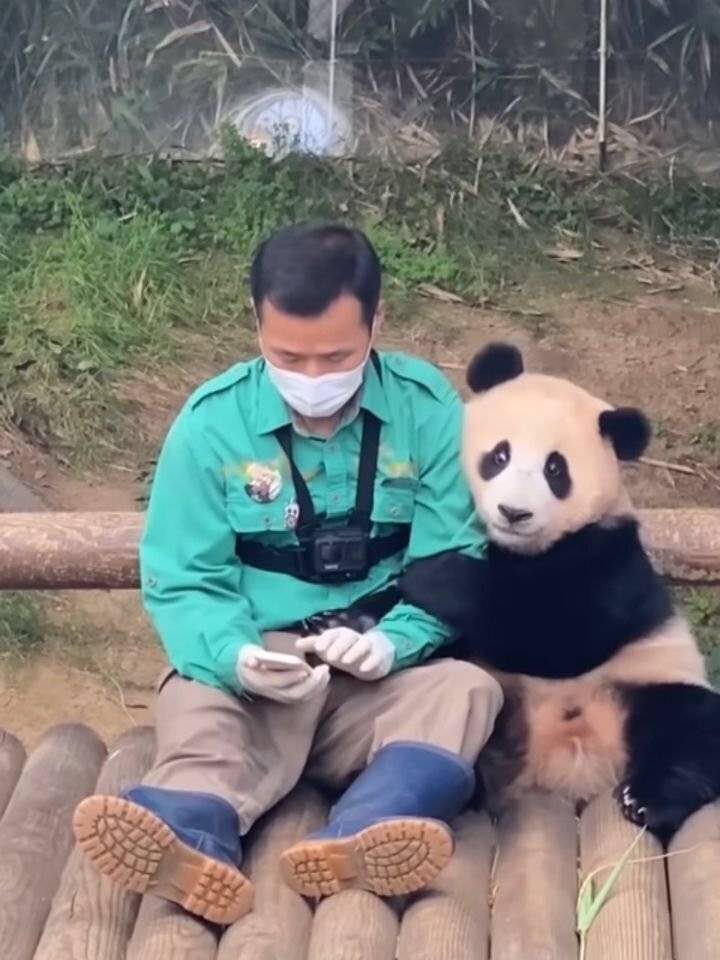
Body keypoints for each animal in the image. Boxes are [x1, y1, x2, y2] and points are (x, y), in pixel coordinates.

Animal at [396, 340, 720, 840]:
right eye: (500, 456)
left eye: (555, 470)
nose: (514, 512)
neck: (521, 551)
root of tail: (571, 769)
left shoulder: (611, 556)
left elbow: (560, 635)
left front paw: (430, 575)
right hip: (505, 696)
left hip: (649, 682)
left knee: (695, 730)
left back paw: (648, 798)